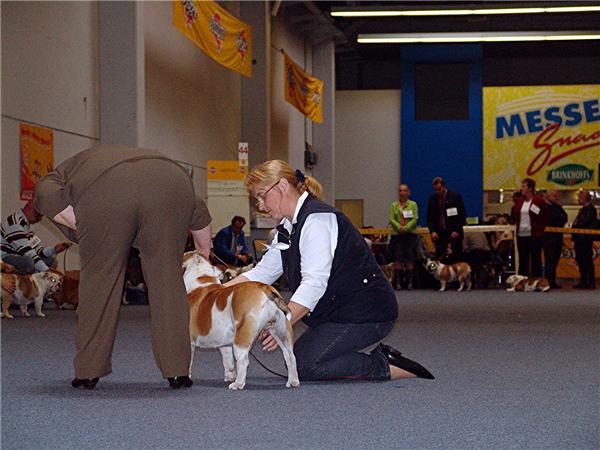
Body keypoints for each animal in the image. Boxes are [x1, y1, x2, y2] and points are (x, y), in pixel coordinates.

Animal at [180, 250, 298, 390]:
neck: (201, 279)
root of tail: (265, 288)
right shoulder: (224, 344)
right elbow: (227, 361)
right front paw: (229, 375)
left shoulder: (189, 342)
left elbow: (188, 362)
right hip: (282, 332)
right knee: (290, 356)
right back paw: (293, 381)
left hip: (241, 337)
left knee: (243, 361)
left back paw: (237, 384)